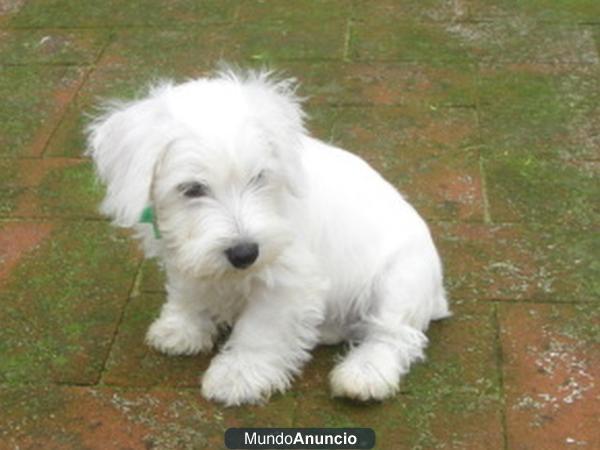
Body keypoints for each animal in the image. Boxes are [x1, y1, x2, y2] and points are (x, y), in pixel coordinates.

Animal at [86, 68, 448, 406]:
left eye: (259, 177)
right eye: (192, 189)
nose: (245, 253)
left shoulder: (286, 281)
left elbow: (260, 329)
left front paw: (238, 375)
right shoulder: (185, 253)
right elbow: (188, 291)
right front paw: (181, 328)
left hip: (400, 280)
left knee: (393, 334)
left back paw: (364, 374)